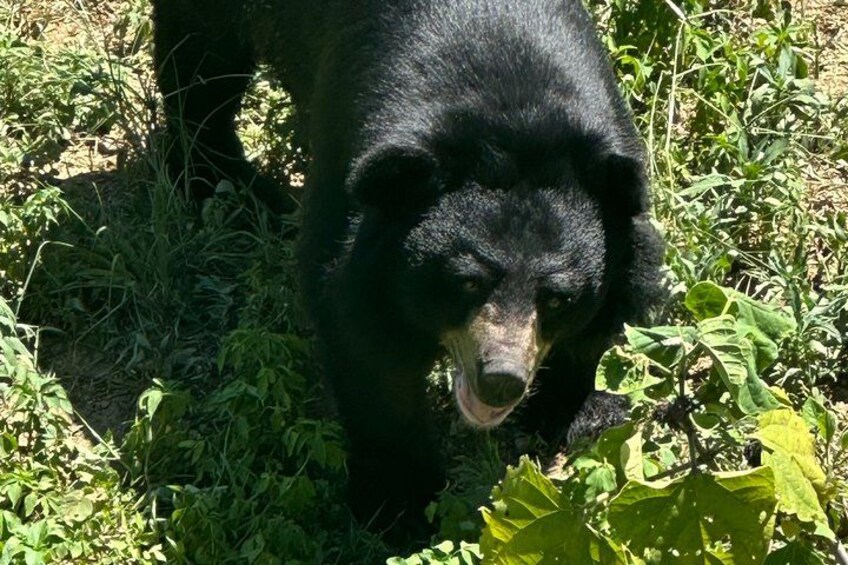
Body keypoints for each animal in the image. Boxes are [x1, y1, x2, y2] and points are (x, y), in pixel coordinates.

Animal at [151, 0, 664, 529]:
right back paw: (222, 180)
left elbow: (600, 326)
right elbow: (368, 347)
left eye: (558, 297)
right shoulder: (359, 206)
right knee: (201, 61)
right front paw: (399, 501)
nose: (501, 380)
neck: (515, 118)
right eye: (466, 282)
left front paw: (578, 412)